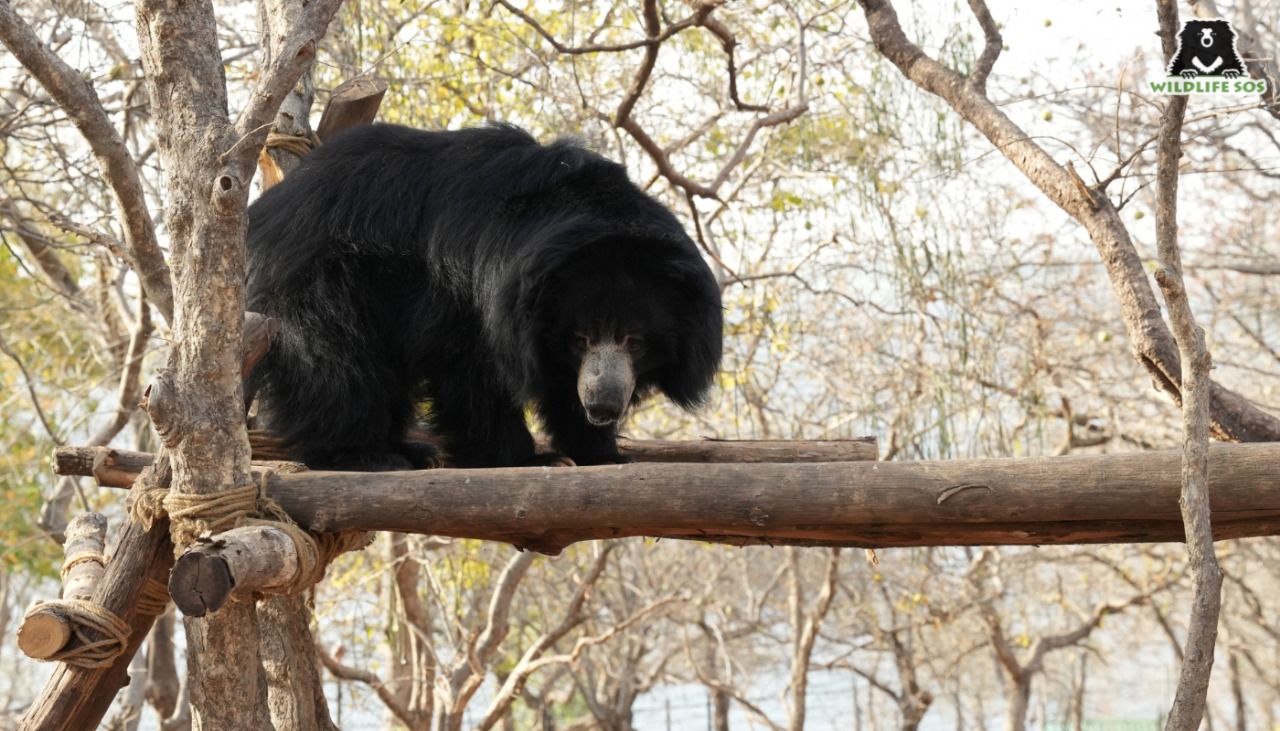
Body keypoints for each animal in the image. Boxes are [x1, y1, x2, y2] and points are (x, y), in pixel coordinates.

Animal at [247, 123, 721, 471]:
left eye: (635, 342)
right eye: (580, 339)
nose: (603, 405)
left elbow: (561, 386)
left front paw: (603, 452)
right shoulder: (466, 289)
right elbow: (471, 369)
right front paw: (531, 459)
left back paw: (407, 450)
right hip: (320, 280)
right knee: (335, 361)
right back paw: (368, 455)